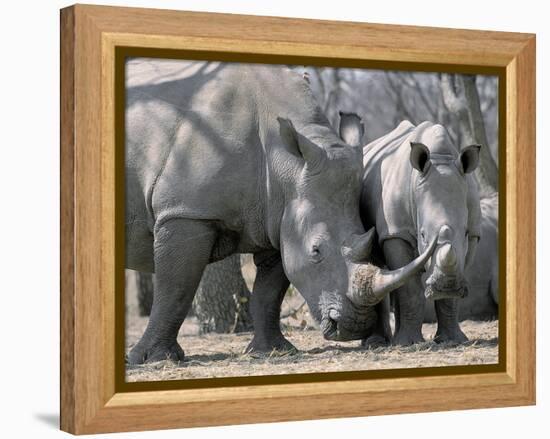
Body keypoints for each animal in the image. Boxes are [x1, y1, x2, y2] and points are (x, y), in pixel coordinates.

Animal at [124, 62, 436, 364]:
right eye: (316, 251)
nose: (354, 327)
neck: (284, 162)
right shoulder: (185, 212)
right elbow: (176, 289)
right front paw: (155, 360)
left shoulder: (278, 216)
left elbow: (270, 291)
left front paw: (273, 351)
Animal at [338, 113, 486, 348]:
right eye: (423, 235)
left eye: (463, 233)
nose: (446, 286)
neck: (441, 159)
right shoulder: (396, 232)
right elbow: (409, 288)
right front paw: (409, 343)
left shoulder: (473, 233)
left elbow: (453, 279)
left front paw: (453, 340)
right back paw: (379, 343)